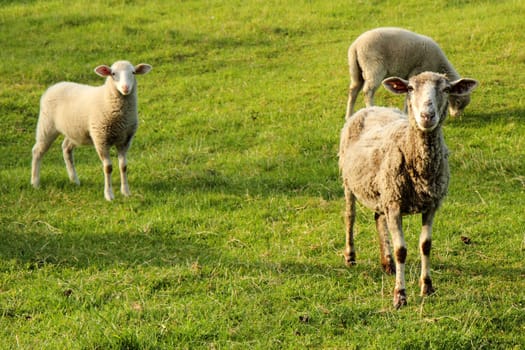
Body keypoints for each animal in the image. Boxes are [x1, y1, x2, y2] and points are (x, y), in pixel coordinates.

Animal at [31, 60, 151, 200]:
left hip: (74, 132)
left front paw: (126, 192)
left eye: (133, 72)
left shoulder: (125, 140)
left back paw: (74, 180)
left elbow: (123, 166)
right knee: (37, 151)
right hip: (46, 125)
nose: (125, 88)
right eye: (113, 74)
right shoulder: (101, 139)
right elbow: (108, 168)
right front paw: (109, 195)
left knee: (66, 148)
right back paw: (35, 182)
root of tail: (55, 86)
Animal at [338, 72, 476, 308]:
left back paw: (387, 263)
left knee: (378, 218)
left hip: (382, 190)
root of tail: (372, 108)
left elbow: (426, 245)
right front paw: (400, 295)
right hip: (350, 183)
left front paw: (427, 287)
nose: (427, 116)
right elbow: (401, 250)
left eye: (447, 89)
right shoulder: (394, 205)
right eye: (410, 88)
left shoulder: (431, 204)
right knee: (350, 217)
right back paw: (350, 256)